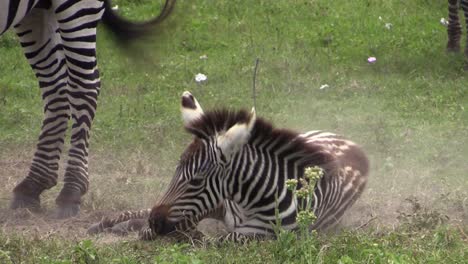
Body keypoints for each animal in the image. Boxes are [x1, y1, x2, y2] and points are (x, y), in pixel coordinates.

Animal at [1, 0, 176, 218]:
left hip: (78, 8)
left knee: (83, 85)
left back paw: (71, 191)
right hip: (37, 10)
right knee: (55, 85)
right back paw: (33, 186)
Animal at [88, 91, 370, 241]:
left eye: (196, 181)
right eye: (175, 171)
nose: (156, 222)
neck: (248, 202)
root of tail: (354, 144)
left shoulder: (252, 235)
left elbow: (209, 241)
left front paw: (185, 235)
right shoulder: (216, 203)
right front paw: (125, 225)